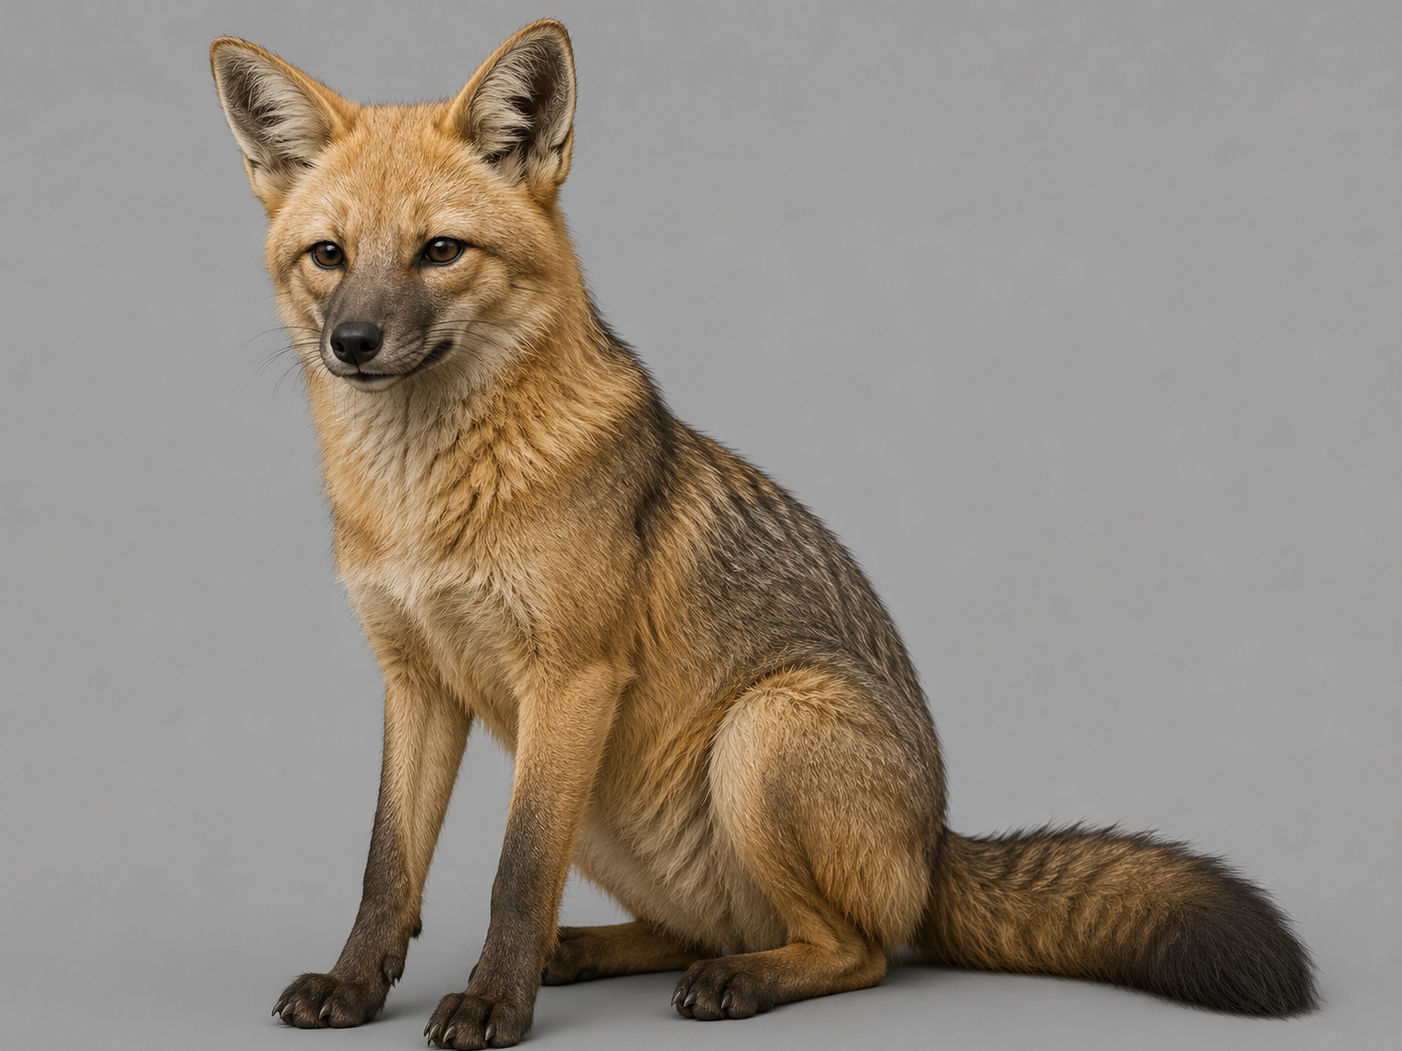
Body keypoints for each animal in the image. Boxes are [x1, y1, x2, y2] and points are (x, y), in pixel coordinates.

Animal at [211, 19, 1317, 1049]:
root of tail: (936, 843)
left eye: (440, 250)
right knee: (696, 927)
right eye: (328, 257)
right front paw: (355, 985)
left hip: (757, 732)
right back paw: (594, 950)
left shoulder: (568, 679)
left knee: (858, 950)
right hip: (611, 804)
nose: (353, 343)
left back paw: (737, 978)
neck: (422, 505)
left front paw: (492, 1001)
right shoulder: (417, 680)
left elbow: (515, 874)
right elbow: (386, 868)